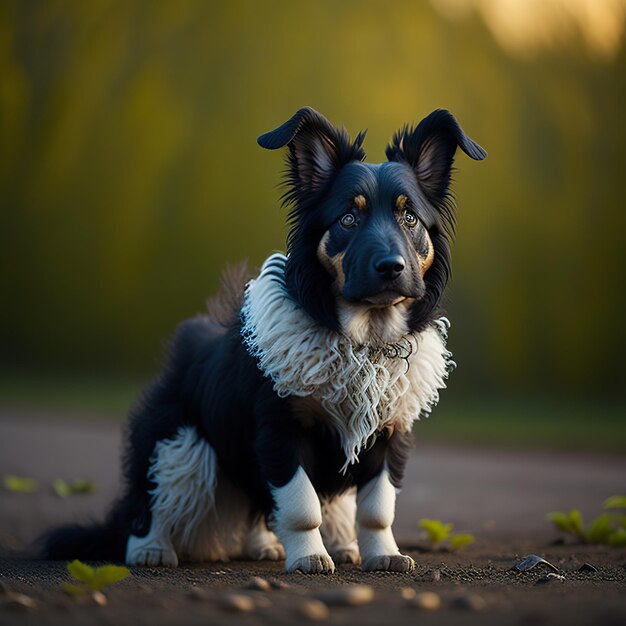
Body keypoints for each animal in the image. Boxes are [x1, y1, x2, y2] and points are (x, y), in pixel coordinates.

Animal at [41, 106, 486, 572]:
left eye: (410, 217)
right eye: (348, 218)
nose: (391, 267)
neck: (362, 336)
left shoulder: (389, 433)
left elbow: (377, 509)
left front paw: (383, 554)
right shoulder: (279, 429)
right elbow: (300, 504)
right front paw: (309, 556)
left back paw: (305, 544)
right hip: (180, 442)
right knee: (153, 500)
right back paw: (150, 548)